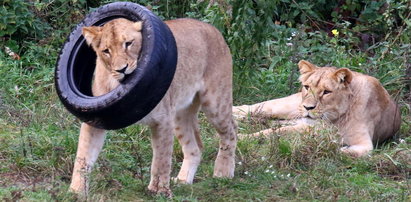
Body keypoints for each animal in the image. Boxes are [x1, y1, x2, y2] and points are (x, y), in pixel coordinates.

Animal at [235, 60, 402, 158]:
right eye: (307, 87)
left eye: (327, 92)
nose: (308, 107)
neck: (338, 116)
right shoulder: (312, 128)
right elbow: (273, 132)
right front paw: (243, 137)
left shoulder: (365, 144)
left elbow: (346, 151)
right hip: (282, 107)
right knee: (249, 109)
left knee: (274, 123)